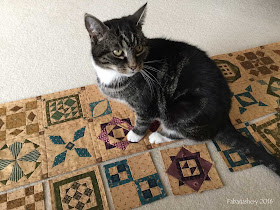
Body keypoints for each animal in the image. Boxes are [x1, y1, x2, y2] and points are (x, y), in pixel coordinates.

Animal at [85, 4, 280, 176]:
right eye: (117, 52)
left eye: (139, 48)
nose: (134, 66)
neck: (112, 76)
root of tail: (224, 118)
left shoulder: (146, 103)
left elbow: (142, 120)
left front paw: (135, 133)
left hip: (178, 111)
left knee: (189, 134)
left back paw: (158, 136)